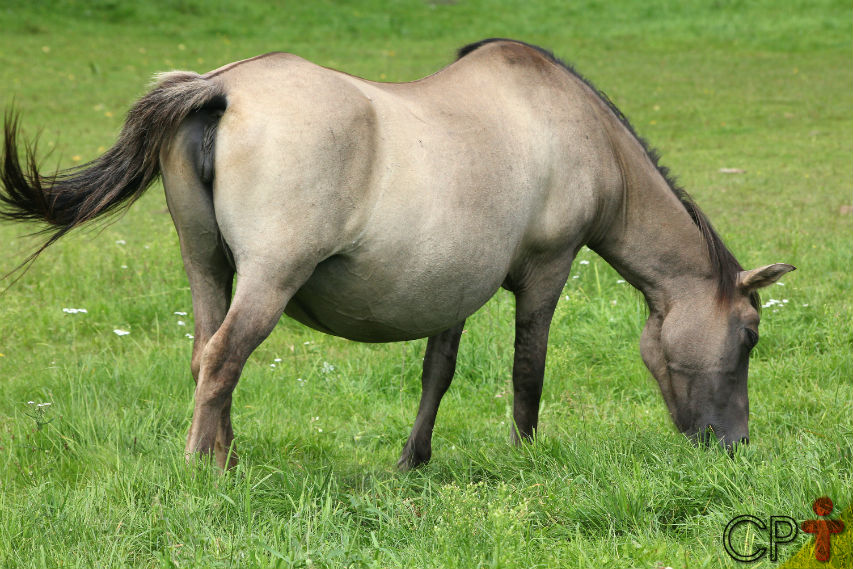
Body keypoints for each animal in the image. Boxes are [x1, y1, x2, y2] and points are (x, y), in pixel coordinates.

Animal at [3, 38, 796, 466]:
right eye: (750, 335)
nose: (734, 443)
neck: (573, 129)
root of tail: (219, 89)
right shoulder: (547, 269)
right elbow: (528, 370)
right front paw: (525, 455)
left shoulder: (453, 285)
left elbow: (436, 374)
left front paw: (413, 460)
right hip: (267, 280)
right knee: (225, 358)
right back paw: (205, 468)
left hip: (206, 267)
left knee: (205, 358)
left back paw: (225, 457)